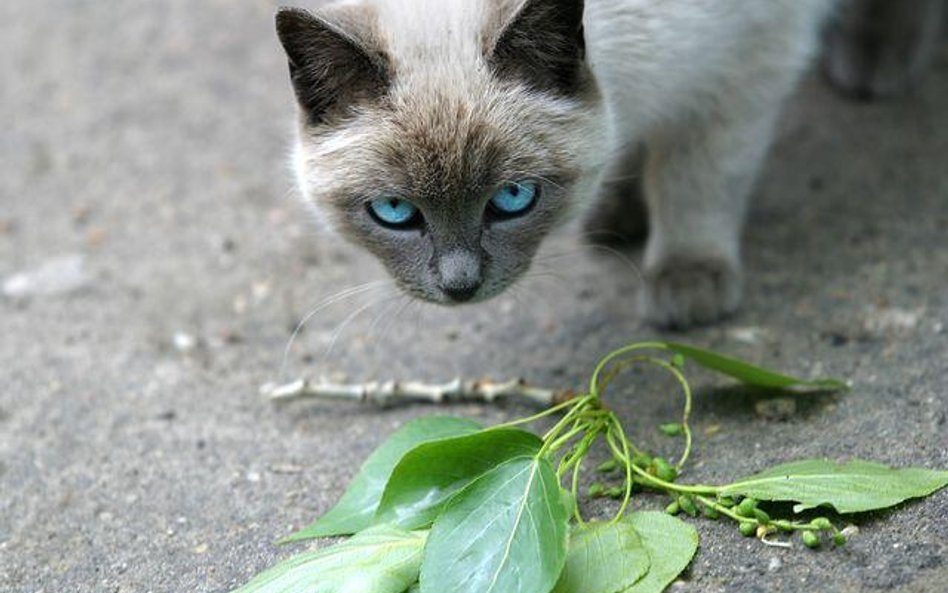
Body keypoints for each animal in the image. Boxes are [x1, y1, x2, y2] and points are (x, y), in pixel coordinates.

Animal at [278, 0, 944, 328]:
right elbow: (630, 151)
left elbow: (695, 179)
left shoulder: (747, 64)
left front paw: (687, 282)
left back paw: (874, 60)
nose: (460, 287)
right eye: (395, 212)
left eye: (512, 199)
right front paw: (619, 211)